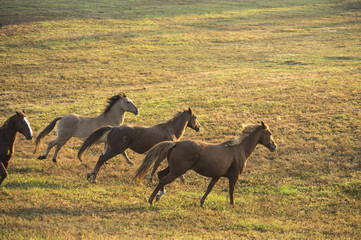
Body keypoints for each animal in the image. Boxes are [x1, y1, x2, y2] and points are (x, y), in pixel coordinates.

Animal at [134, 122, 278, 206]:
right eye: (269, 133)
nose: (274, 146)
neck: (238, 149)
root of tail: (176, 143)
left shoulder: (217, 175)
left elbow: (209, 188)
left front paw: (202, 202)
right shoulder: (234, 176)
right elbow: (231, 190)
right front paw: (232, 205)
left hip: (173, 168)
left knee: (160, 175)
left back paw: (159, 195)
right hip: (177, 171)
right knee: (163, 180)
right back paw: (151, 199)